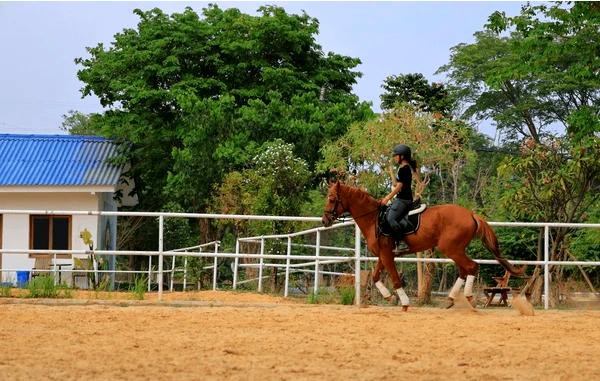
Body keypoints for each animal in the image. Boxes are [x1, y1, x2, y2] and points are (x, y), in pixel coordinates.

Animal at [322, 180, 524, 308]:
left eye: (332, 199)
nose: (325, 221)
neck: (373, 218)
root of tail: (470, 214)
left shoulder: (387, 254)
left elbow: (394, 278)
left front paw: (403, 302)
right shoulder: (384, 254)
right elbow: (375, 276)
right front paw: (389, 297)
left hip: (451, 249)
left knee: (471, 267)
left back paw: (468, 297)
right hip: (455, 249)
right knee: (464, 270)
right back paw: (451, 300)